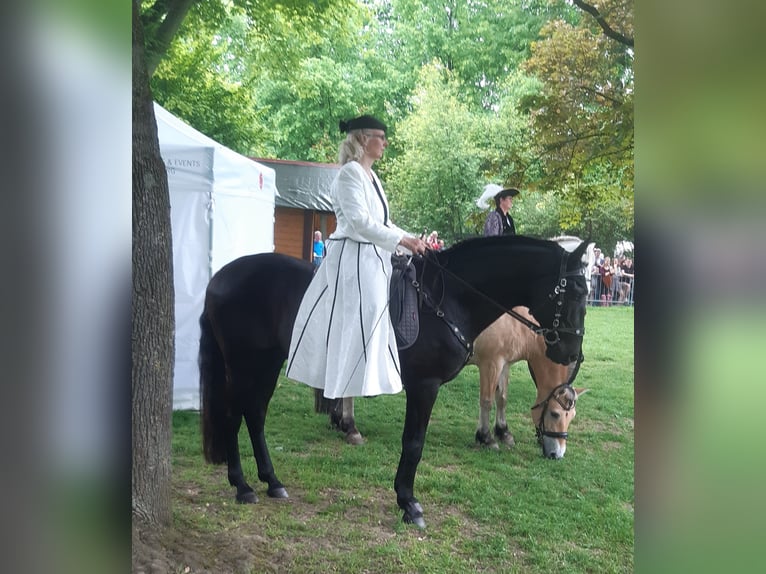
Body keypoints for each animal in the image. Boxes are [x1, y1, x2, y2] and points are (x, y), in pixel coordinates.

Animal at [198, 235, 588, 532]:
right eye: (572, 292)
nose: (571, 351)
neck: (447, 299)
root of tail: (219, 277)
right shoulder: (427, 385)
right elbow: (414, 443)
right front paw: (409, 503)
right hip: (243, 363)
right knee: (234, 414)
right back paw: (242, 485)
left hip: (267, 363)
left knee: (255, 415)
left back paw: (272, 482)